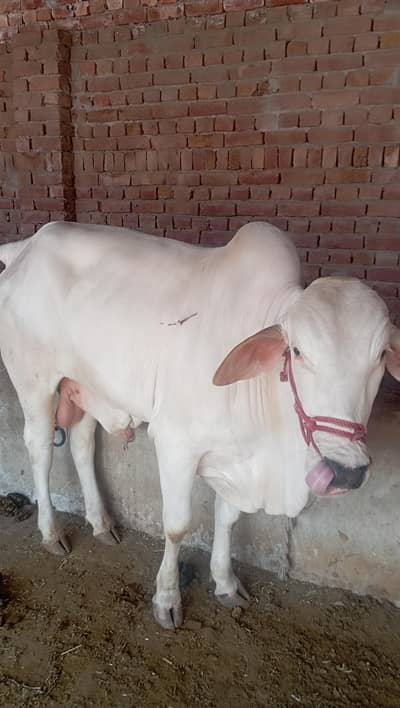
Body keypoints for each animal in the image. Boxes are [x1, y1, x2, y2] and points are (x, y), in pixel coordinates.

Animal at [0, 220, 399, 630]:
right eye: (298, 351)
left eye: (382, 355)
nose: (345, 471)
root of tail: (28, 245)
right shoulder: (175, 444)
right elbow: (178, 525)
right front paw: (167, 598)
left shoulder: (237, 456)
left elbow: (229, 518)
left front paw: (225, 583)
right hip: (35, 382)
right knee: (40, 448)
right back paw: (51, 532)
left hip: (84, 385)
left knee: (82, 445)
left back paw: (101, 523)